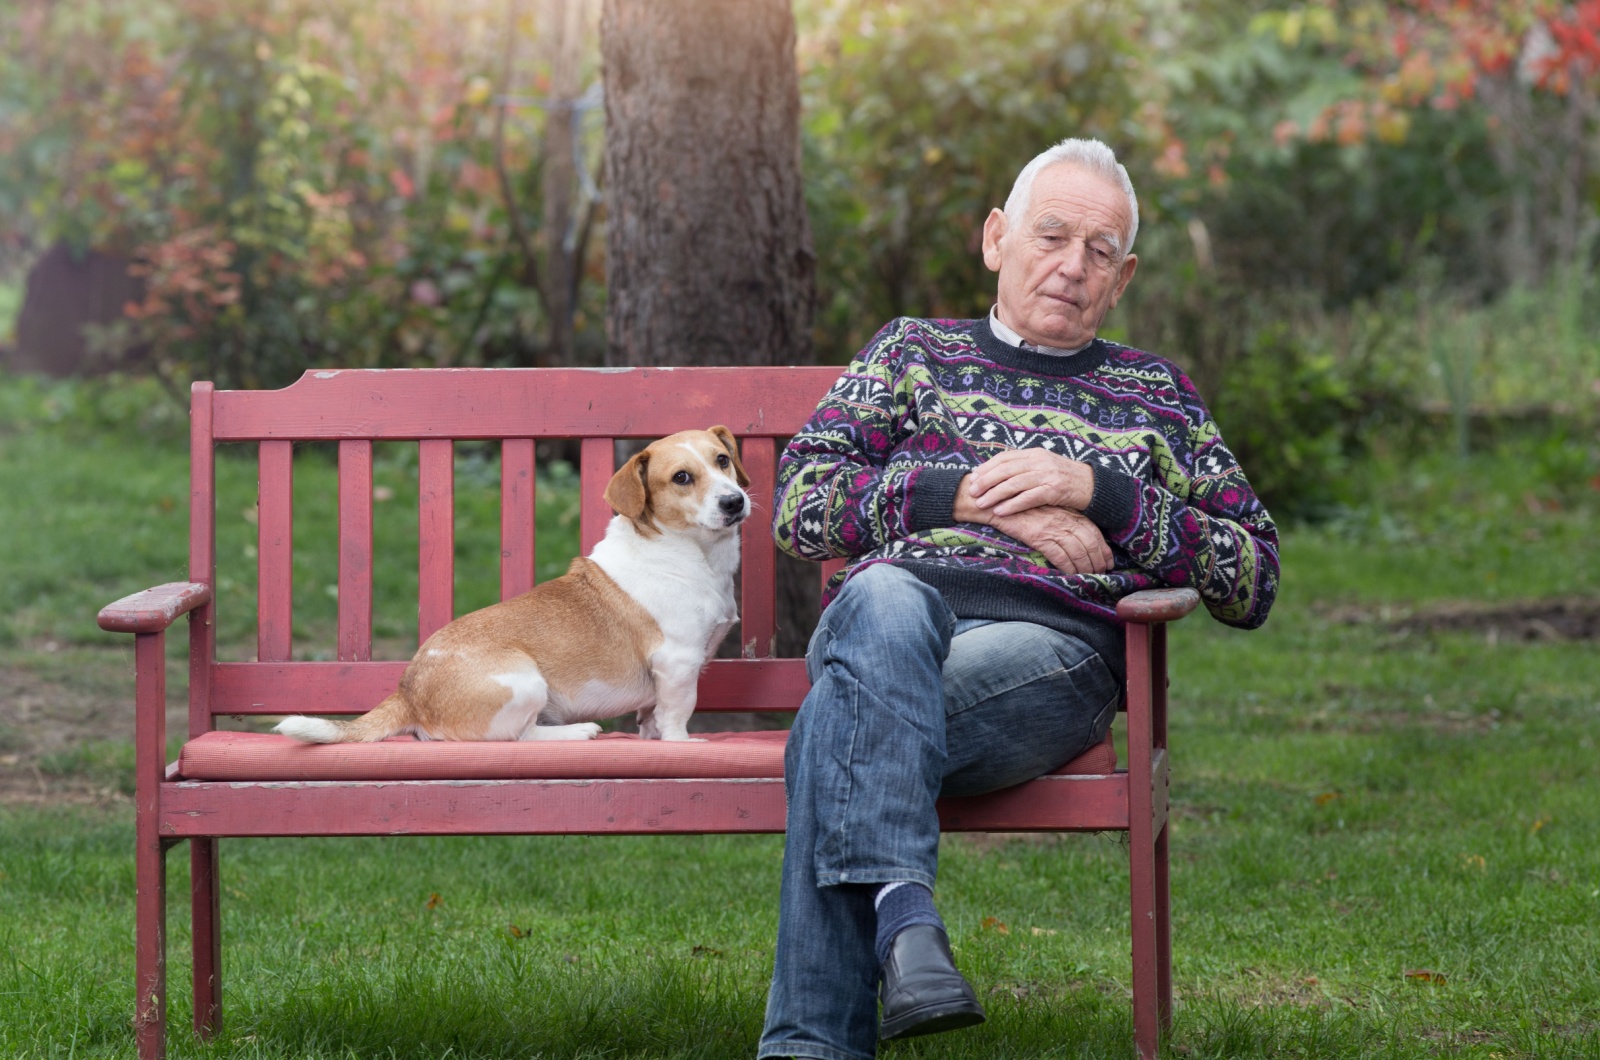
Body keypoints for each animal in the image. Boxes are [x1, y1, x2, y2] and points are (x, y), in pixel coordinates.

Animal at [275, 429, 748, 746]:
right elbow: (677, 715)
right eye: (682, 477)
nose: (734, 501)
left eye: (723, 460)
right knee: (520, 737)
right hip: (527, 683)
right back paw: (578, 731)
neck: (690, 555)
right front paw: (682, 745)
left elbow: (652, 718)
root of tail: (407, 692)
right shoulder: (678, 663)